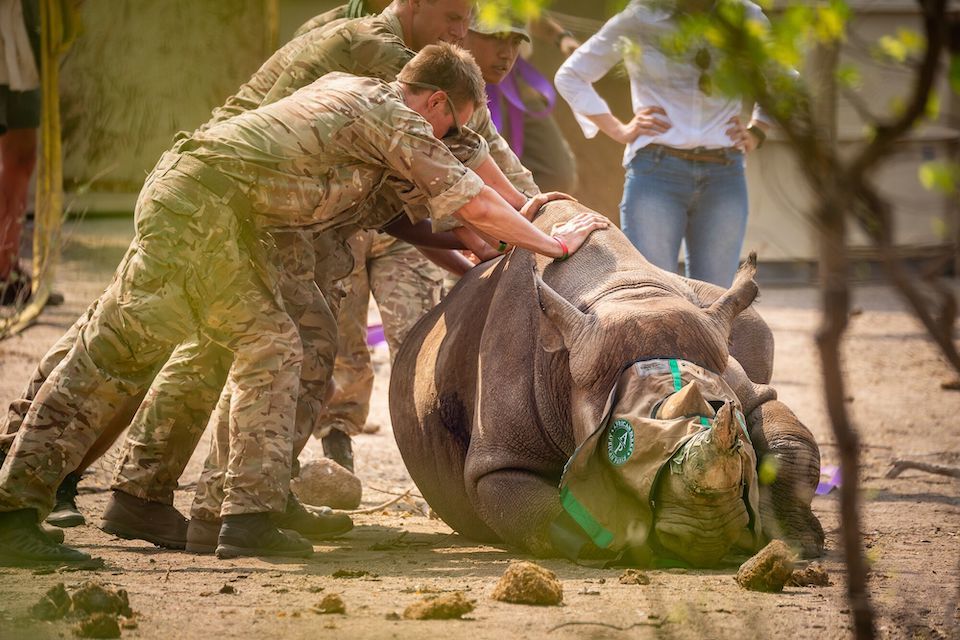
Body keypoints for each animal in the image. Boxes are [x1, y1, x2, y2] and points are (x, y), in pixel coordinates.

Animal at [390, 201, 824, 567]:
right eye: (622, 442)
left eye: (720, 410)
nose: (708, 536)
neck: (622, 291)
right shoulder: (498, 461)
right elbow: (561, 510)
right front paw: (639, 544)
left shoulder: (736, 381)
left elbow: (788, 440)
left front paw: (798, 544)